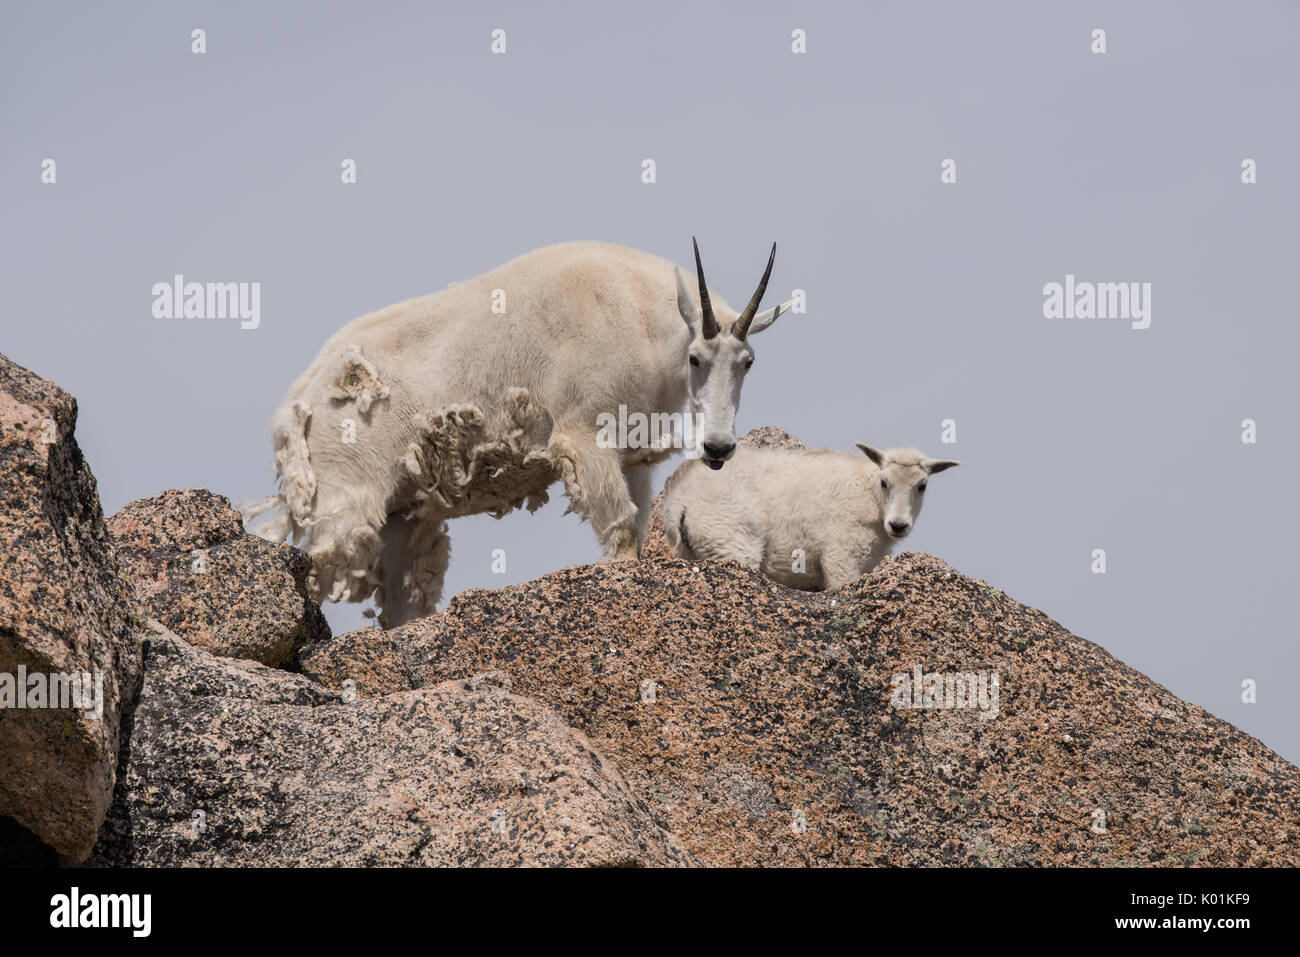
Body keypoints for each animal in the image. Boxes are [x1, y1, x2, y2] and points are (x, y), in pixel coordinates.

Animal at [243, 243, 790, 624]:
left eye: (748, 362)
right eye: (696, 358)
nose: (719, 448)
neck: (643, 320)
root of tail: (298, 402)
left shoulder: (630, 454)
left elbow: (633, 529)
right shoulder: (583, 435)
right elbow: (618, 532)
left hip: (403, 512)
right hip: (344, 494)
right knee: (310, 563)